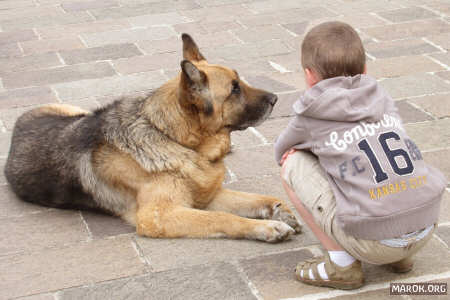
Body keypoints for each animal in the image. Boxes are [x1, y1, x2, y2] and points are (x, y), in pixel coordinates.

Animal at [5, 34, 300, 243]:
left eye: (239, 82)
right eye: (234, 89)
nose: (276, 99)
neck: (173, 138)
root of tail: (18, 124)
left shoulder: (207, 196)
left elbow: (256, 198)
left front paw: (279, 209)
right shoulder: (161, 215)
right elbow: (221, 218)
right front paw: (266, 227)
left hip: (76, 110)